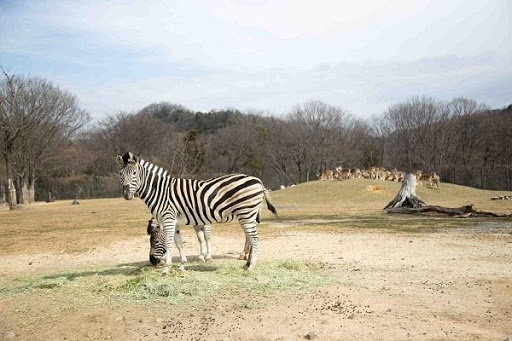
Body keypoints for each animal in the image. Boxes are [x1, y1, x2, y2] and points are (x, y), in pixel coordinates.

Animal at [116, 151, 278, 274]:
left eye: (134, 173)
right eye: (120, 173)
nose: (126, 195)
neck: (160, 191)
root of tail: (259, 181)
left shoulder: (169, 219)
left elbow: (172, 241)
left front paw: (167, 269)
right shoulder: (177, 221)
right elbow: (180, 242)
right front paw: (183, 265)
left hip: (246, 213)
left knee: (254, 238)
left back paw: (251, 266)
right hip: (246, 215)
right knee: (249, 237)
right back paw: (246, 262)